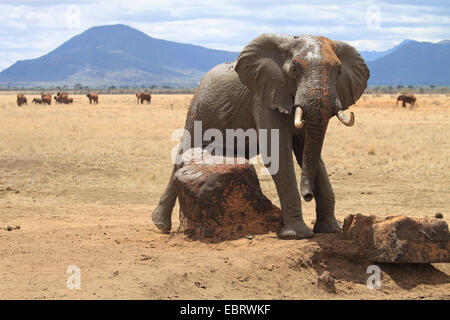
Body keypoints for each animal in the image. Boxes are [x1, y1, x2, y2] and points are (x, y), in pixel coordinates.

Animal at [151, 34, 370, 240]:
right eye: (294, 70)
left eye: (339, 71)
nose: (308, 195)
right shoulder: (265, 96)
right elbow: (277, 153)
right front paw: (297, 235)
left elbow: (307, 152)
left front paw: (331, 230)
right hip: (196, 109)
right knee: (183, 152)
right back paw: (160, 225)